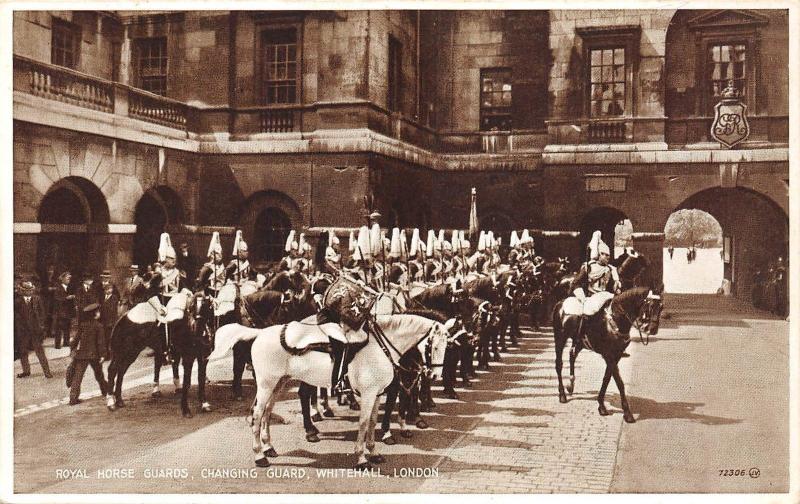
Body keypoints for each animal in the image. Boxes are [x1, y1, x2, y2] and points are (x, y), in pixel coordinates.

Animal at [244, 316, 454, 468]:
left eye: (447, 346)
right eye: (434, 347)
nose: (435, 375)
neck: (381, 348)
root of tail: (261, 333)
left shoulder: (377, 394)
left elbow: (372, 422)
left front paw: (374, 453)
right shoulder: (368, 394)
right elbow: (363, 423)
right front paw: (361, 458)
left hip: (278, 383)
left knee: (267, 412)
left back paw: (269, 447)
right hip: (266, 384)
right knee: (257, 414)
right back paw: (259, 455)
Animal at [552, 286, 664, 424]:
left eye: (661, 307)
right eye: (649, 305)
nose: (653, 329)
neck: (615, 320)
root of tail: (560, 303)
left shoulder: (616, 355)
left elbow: (607, 378)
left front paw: (601, 405)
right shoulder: (609, 355)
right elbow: (619, 382)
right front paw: (627, 413)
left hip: (579, 342)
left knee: (572, 355)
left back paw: (570, 385)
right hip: (560, 338)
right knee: (559, 364)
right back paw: (562, 394)